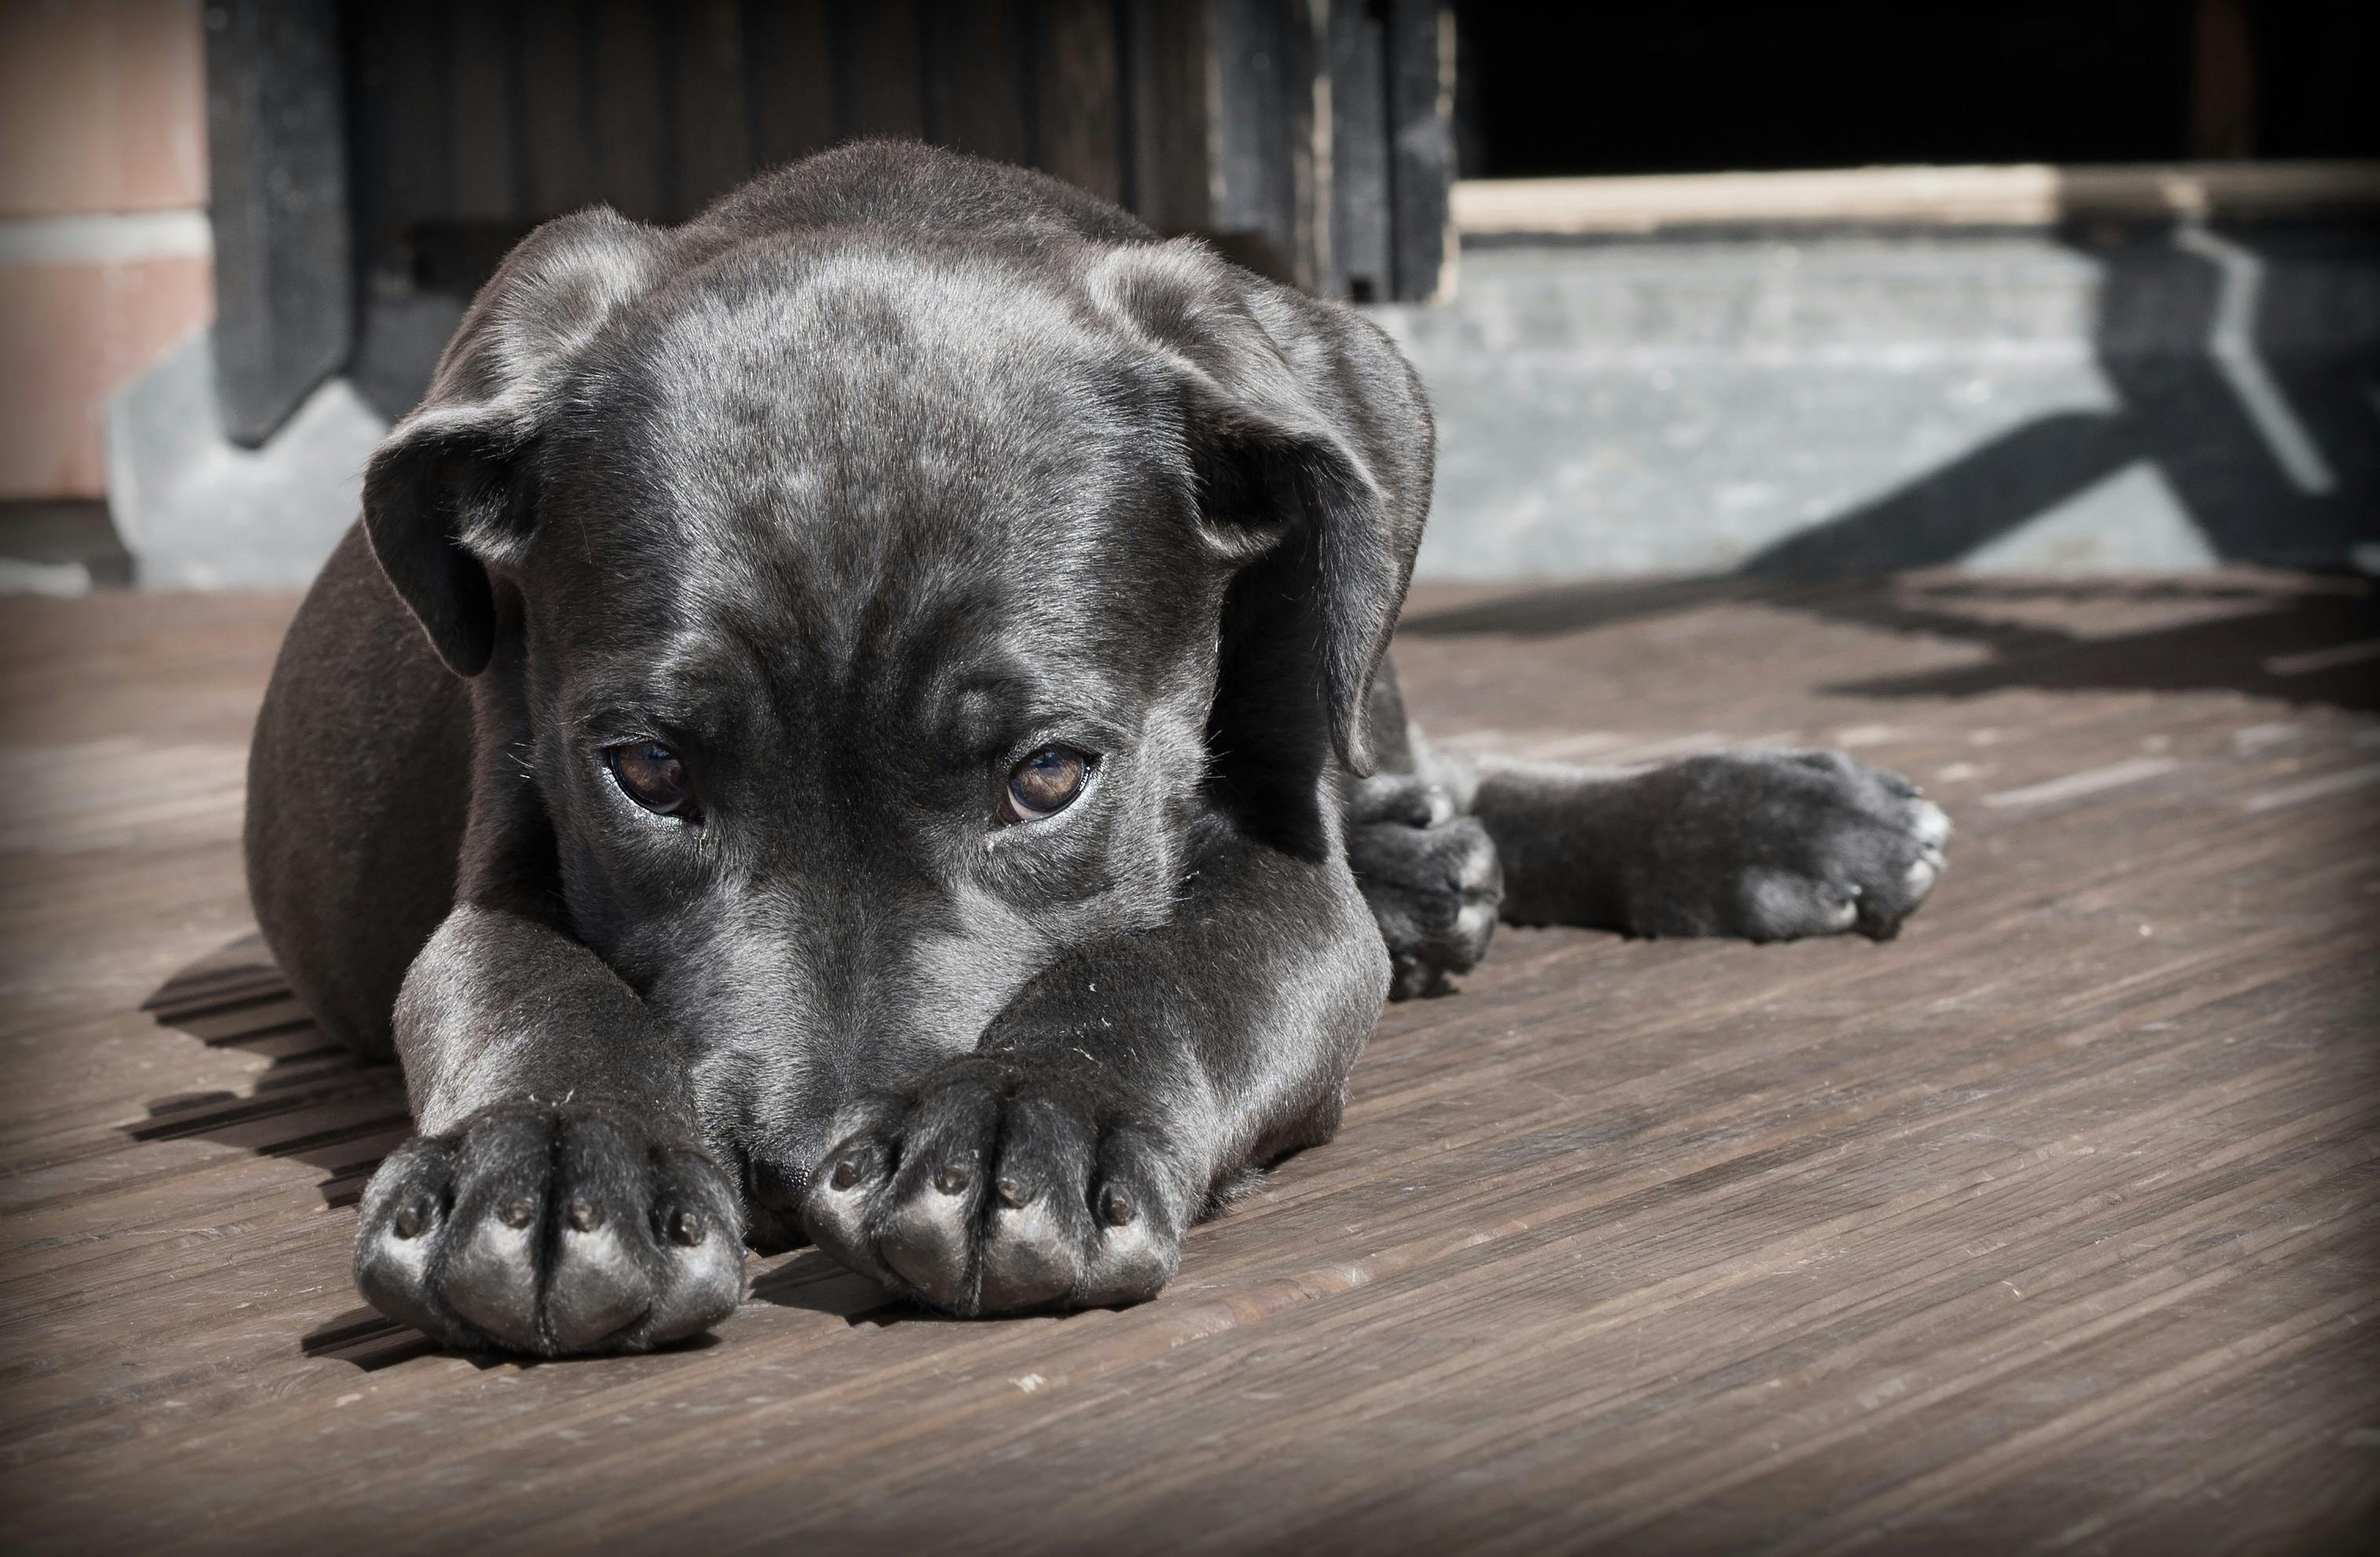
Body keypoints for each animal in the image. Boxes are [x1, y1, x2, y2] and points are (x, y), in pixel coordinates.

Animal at [251, 140, 1942, 1352]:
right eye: (649, 774)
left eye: (1049, 776)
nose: (793, 1173)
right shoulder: (503, 853)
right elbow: (529, 988)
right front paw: (549, 1168)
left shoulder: (1281, 877)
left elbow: (1165, 967)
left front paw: (1023, 1122)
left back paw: (1758, 820)